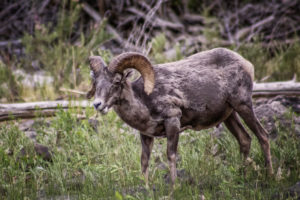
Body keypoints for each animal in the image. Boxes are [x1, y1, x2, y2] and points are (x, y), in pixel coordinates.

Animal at [87, 47, 274, 185]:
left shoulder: (173, 122)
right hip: (230, 115)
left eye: (116, 82)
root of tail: (246, 64)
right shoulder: (146, 135)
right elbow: (144, 161)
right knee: (245, 140)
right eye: (96, 82)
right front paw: (145, 188)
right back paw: (242, 176)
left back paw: (271, 177)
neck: (144, 100)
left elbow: (171, 155)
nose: (97, 104)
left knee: (263, 136)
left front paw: (174, 187)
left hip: (243, 106)